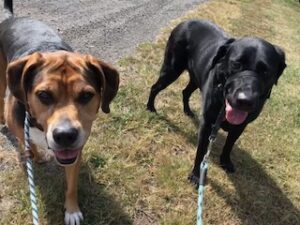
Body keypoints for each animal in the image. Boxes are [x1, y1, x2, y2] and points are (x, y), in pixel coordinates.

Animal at [0, 0, 119, 224]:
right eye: (44, 95)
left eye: (86, 95)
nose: (65, 135)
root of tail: (10, 18)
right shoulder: (20, 126)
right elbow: (24, 140)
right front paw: (31, 153)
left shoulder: (75, 153)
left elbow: (71, 186)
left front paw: (72, 210)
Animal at [147, 19, 286, 184]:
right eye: (236, 64)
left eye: (265, 71)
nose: (244, 100)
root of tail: (185, 22)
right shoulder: (207, 124)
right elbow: (201, 151)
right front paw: (196, 174)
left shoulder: (240, 126)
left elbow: (229, 145)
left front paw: (225, 161)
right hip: (171, 70)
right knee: (155, 87)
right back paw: (150, 107)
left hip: (196, 78)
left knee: (185, 92)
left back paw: (187, 111)